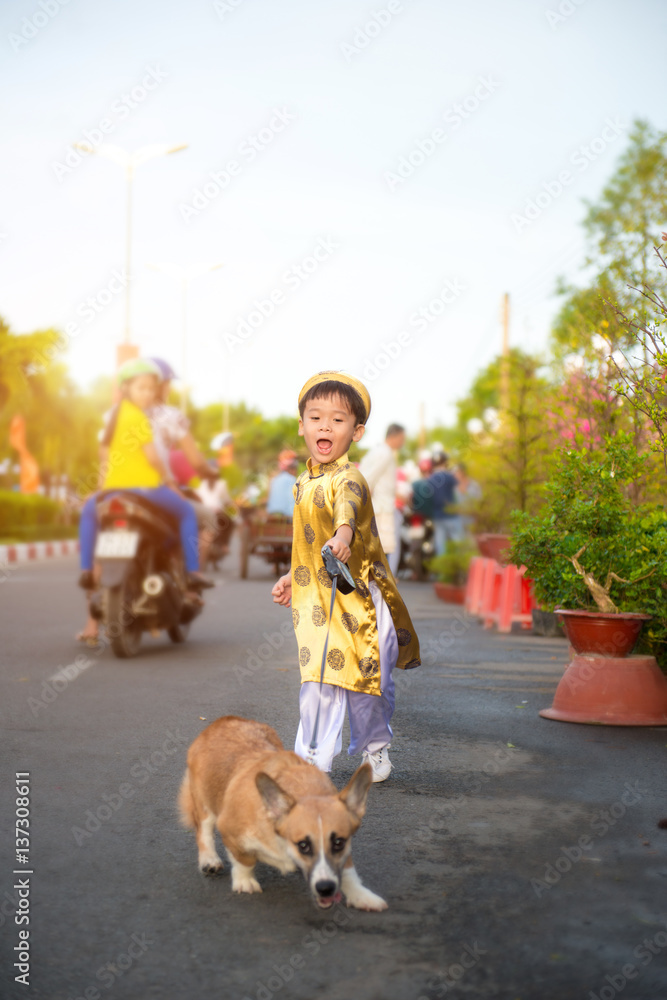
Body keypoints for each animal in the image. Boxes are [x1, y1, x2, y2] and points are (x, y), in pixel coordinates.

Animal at [177, 716, 388, 912]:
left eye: (339, 843)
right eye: (303, 845)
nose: (326, 888)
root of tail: (222, 721)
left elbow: (348, 872)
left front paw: (361, 895)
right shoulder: (229, 830)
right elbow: (244, 861)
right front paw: (244, 882)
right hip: (205, 803)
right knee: (204, 831)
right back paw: (209, 860)